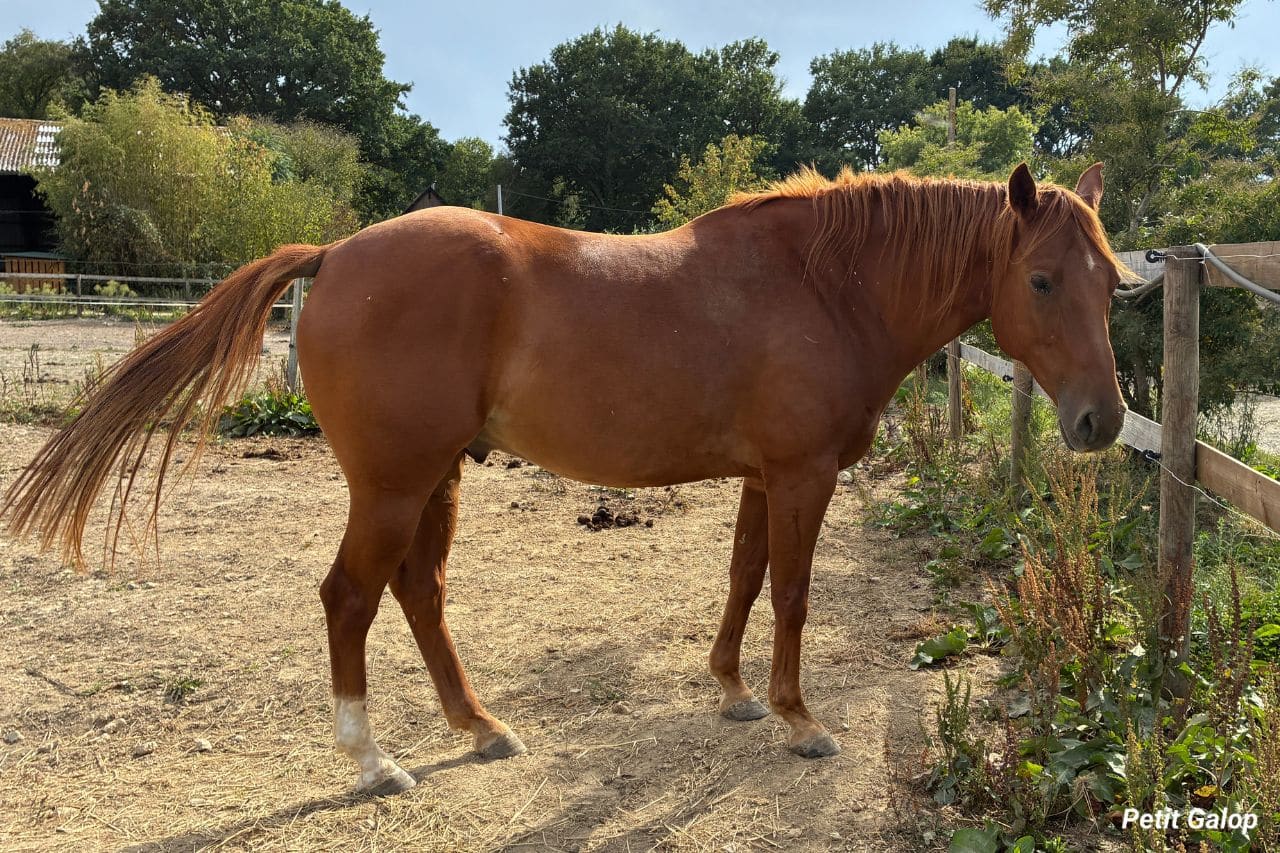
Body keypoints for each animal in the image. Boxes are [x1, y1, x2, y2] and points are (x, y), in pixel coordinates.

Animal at [2, 162, 1130, 795]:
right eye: (1039, 279)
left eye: (1112, 281)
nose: (1101, 421)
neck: (821, 284)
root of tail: (336, 255)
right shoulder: (802, 476)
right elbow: (794, 596)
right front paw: (798, 719)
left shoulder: (763, 477)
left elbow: (742, 579)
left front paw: (731, 693)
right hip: (393, 485)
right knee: (351, 597)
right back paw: (372, 761)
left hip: (434, 481)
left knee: (418, 592)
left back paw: (479, 727)